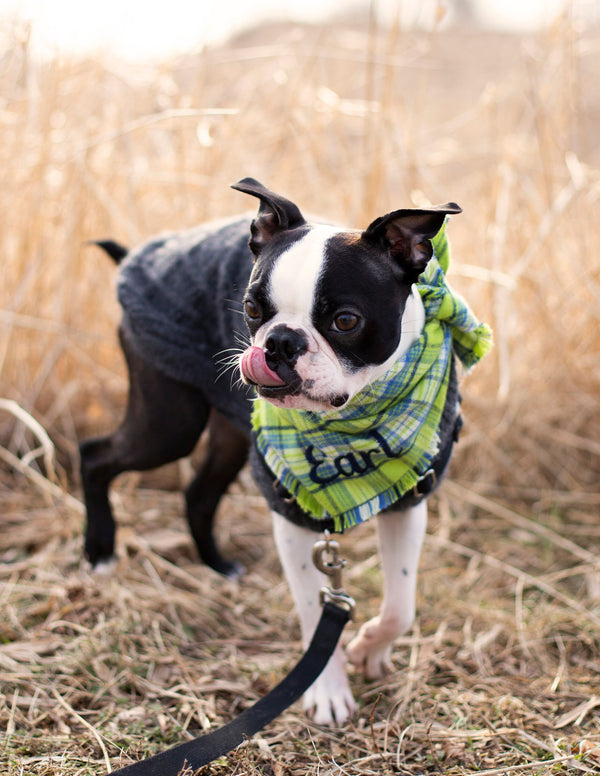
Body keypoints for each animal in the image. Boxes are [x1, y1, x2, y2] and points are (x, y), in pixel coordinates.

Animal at [79, 179, 490, 724]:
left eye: (345, 321)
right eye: (251, 309)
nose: (278, 342)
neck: (354, 423)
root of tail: (134, 256)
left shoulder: (408, 503)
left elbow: (401, 607)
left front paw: (369, 649)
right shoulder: (293, 518)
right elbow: (316, 612)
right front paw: (328, 691)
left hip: (229, 431)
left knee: (198, 493)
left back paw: (218, 566)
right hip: (170, 422)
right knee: (95, 455)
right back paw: (100, 553)